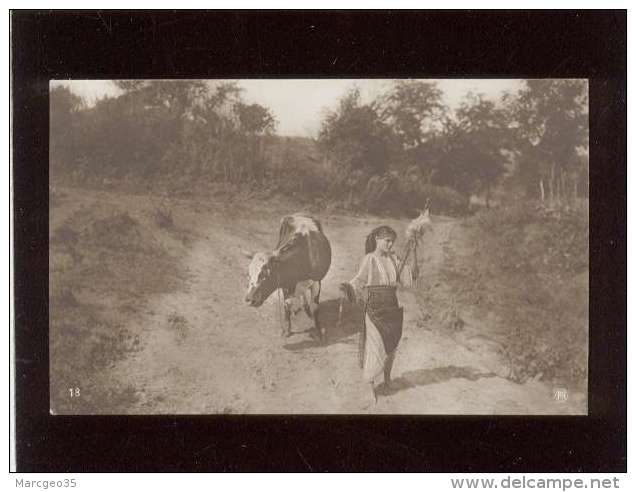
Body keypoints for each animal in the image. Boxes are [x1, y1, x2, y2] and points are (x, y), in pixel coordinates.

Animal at [245, 211, 332, 342]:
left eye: (266, 274)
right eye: (249, 275)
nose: (249, 299)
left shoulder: (317, 282)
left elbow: (315, 306)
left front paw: (319, 331)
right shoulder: (286, 282)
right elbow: (287, 304)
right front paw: (287, 329)